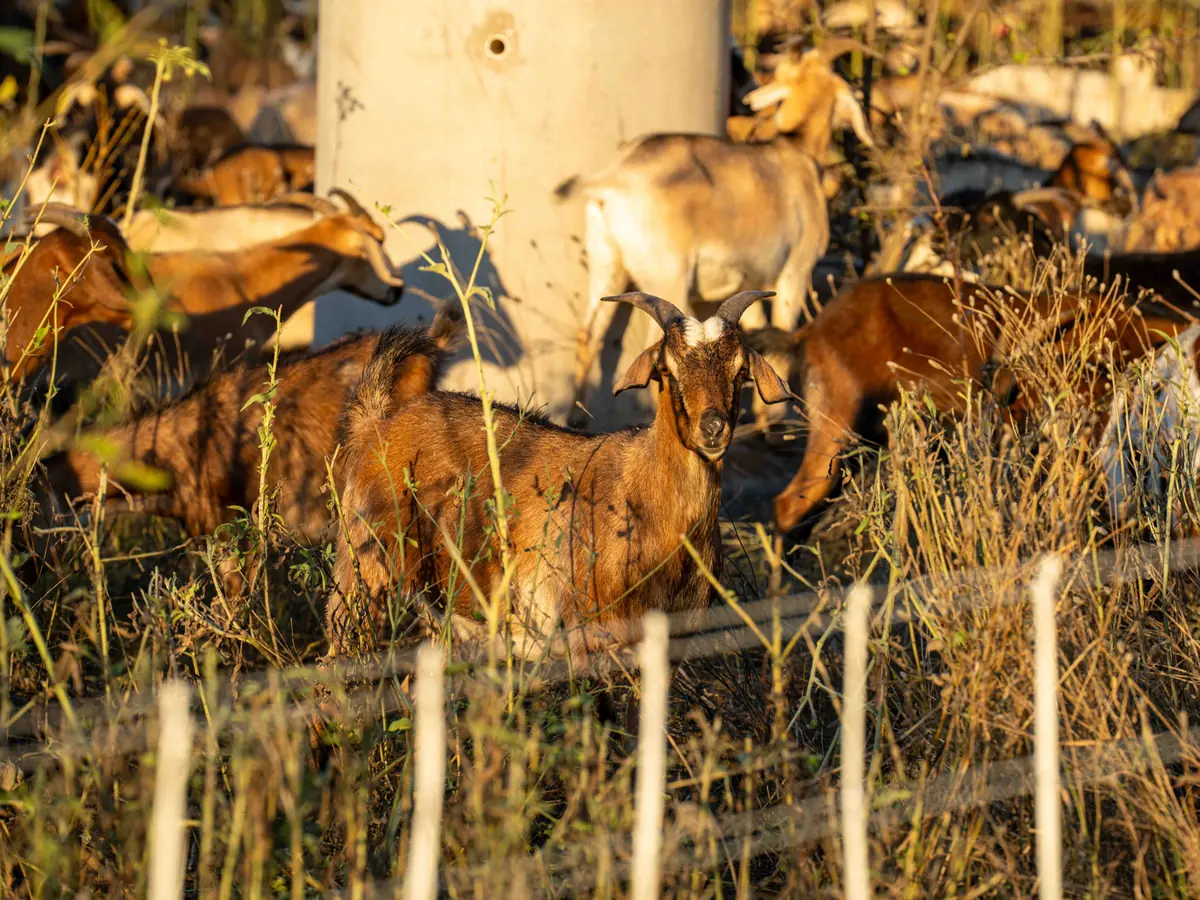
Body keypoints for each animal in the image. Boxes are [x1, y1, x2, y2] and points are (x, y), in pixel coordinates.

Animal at [556, 41, 872, 420]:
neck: (795, 152)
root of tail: (618, 175)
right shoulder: (795, 273)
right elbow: (782, 336)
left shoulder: (747, 285)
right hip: (669, 279)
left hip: (607, 267)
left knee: (588, 334)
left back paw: (578, 418)